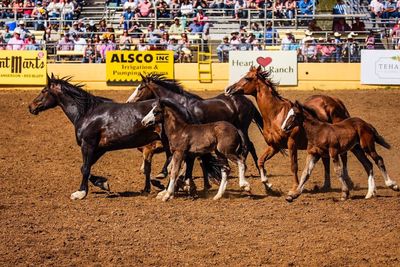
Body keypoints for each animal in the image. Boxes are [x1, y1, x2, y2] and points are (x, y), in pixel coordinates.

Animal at [28, 74, 167, 200]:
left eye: (44, 90)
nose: (31, 107)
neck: (87, 113)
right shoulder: (100, 148)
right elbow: (84, 167)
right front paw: (103, 183)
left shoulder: (88, 144)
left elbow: (85, 168)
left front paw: (80, 193)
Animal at [225, 66, 354, 196]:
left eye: (247, 78)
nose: (229, 89)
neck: (276, 114)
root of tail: (336, 101)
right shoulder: (274, 146)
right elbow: (261, 161)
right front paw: (268, 185)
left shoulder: (292, 144)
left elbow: (294, 166)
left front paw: (295, 187)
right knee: (326, 161)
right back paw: (326, 186)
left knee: (344, 156)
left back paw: (348, 181)